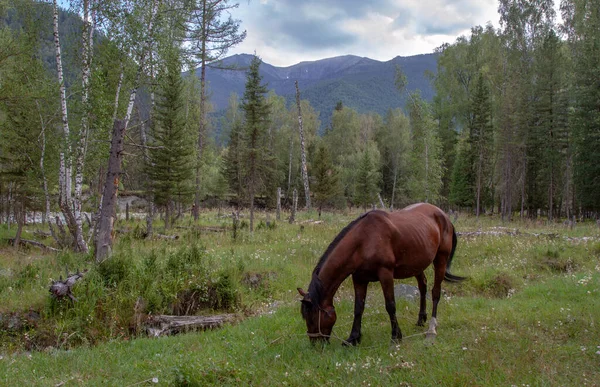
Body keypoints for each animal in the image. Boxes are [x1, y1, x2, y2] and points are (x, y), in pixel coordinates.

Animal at [298, 203, 466, 346]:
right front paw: (353, 338)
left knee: (435, 292)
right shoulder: (359, 278)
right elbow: (358, 307)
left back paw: (431, 329)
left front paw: (396, 336)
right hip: (417, 264)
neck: (363, 241)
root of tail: (444, 216)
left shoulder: (385, 274)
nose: (315, 344)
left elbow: (390, 305)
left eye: (312, 318)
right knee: (423, 286)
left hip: (441, 260)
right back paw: (420, 320)